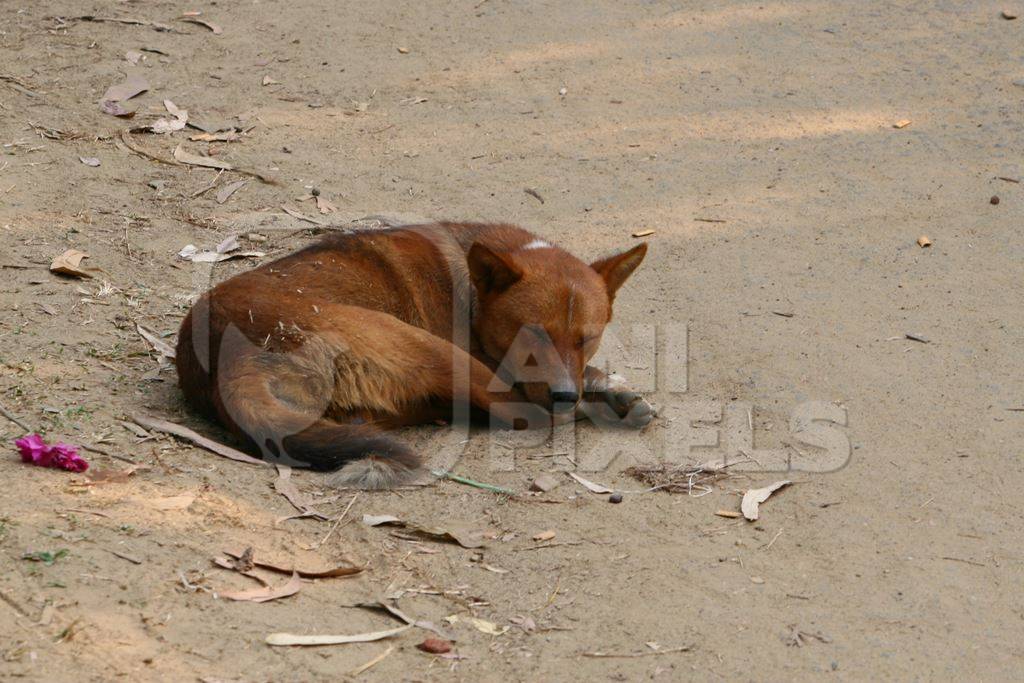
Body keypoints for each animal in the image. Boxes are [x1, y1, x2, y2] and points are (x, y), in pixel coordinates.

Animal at [176, 222, 651, 489]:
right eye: (532, 334)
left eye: (587, 338)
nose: (565, 395)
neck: (475, 291)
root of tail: (227, 355)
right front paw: (603, 392)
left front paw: (608, 386)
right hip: (424, 344)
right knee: (519, 414)